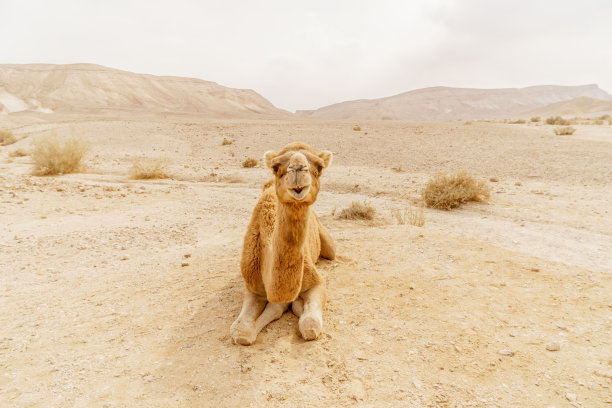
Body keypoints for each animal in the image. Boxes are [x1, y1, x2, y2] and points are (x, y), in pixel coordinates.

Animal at [231, 142, 338, 346]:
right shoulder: (252, 287)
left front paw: (296, 306)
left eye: (319, 167)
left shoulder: (316, 282)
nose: (297, 168)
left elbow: (310, 324)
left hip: (329, 247)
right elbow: (241, 332)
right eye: (275, 167)